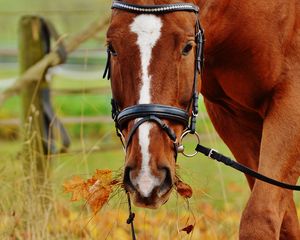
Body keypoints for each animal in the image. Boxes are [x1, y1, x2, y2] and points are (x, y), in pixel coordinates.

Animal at [104, 0, 298, 239]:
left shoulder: (291, 102)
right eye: (112, 47)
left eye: (188, 47)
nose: (147, 178)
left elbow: (261, 216)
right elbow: (286, 221)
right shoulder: (232, 117)